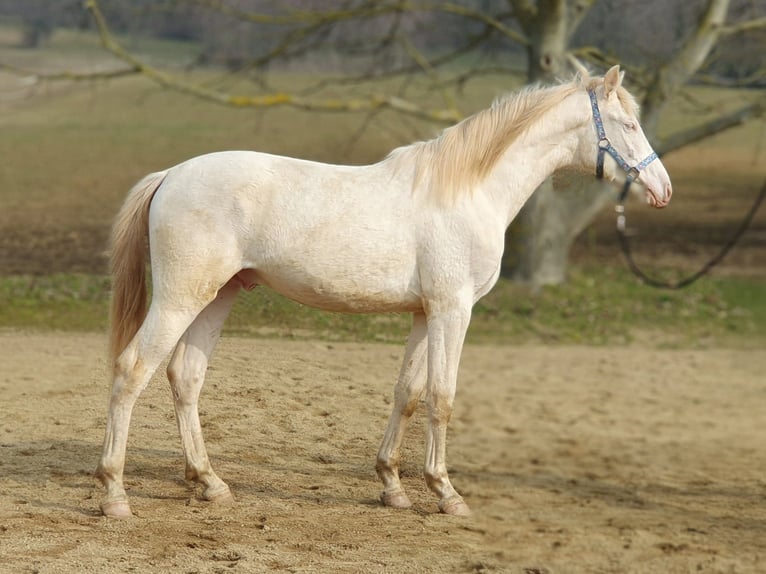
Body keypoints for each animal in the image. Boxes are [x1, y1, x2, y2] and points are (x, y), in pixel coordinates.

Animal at [94, 65, 672, 520]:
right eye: (628, 124)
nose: (662, 189)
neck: (469, 190)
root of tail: (171, 175)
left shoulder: (424, 313)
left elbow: (408, 393)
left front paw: (393, 486)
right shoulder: (452, 310)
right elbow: (442, 397)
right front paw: (446, 493)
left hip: (218, 296)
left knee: (185, 377)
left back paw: (210, 483)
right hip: (181, 298)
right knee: (133, 371)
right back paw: (115, 494)